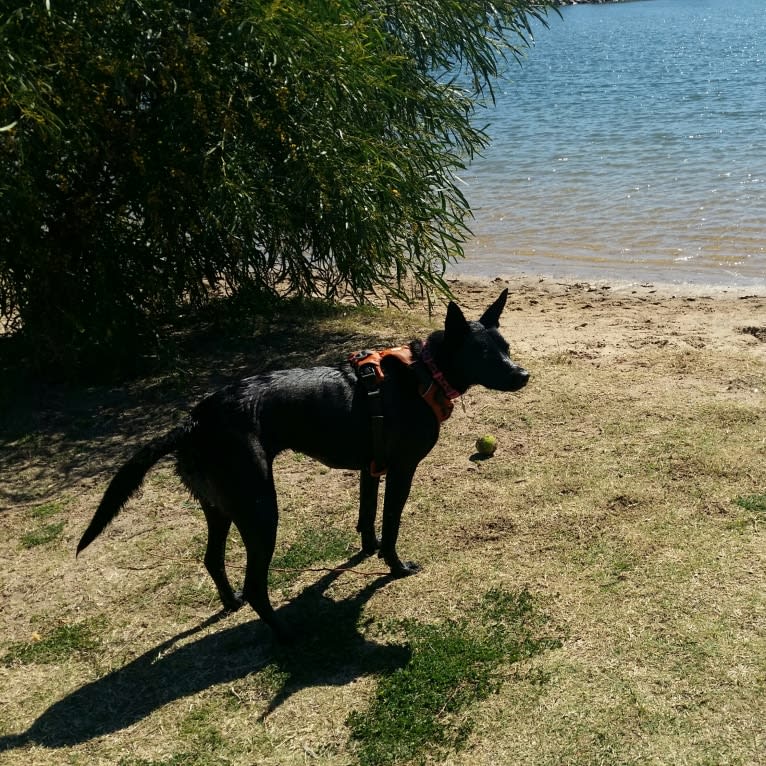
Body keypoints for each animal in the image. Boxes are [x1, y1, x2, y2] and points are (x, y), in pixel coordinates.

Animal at [79, 292, 536, 640]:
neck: (424, 372)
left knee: (212, 559)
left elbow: (366, 516)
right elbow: (391, 524)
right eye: (482, 353)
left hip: (220, 504)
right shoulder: (401, 470)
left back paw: (231, 603)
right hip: (260, 508)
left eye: (507, 348)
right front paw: (395, 566)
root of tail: (193, 423)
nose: (523, 375)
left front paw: (366, 551)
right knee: (256, 585)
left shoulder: (371, 468)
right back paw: (286, 633)